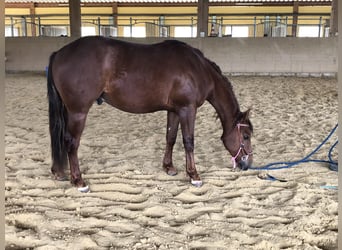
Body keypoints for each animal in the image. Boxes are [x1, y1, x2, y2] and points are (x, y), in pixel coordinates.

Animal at [46, 35, 252, 191]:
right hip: (78, 112)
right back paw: (79, 181)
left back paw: (59, 172)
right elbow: (188, 142)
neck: (198, 69)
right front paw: (194, 175)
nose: (247, 164)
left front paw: (169, 167)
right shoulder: (188, 109)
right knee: (71, 142)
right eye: (246, 136)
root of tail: (59, 54)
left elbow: (171, 138)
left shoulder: (175, 110)